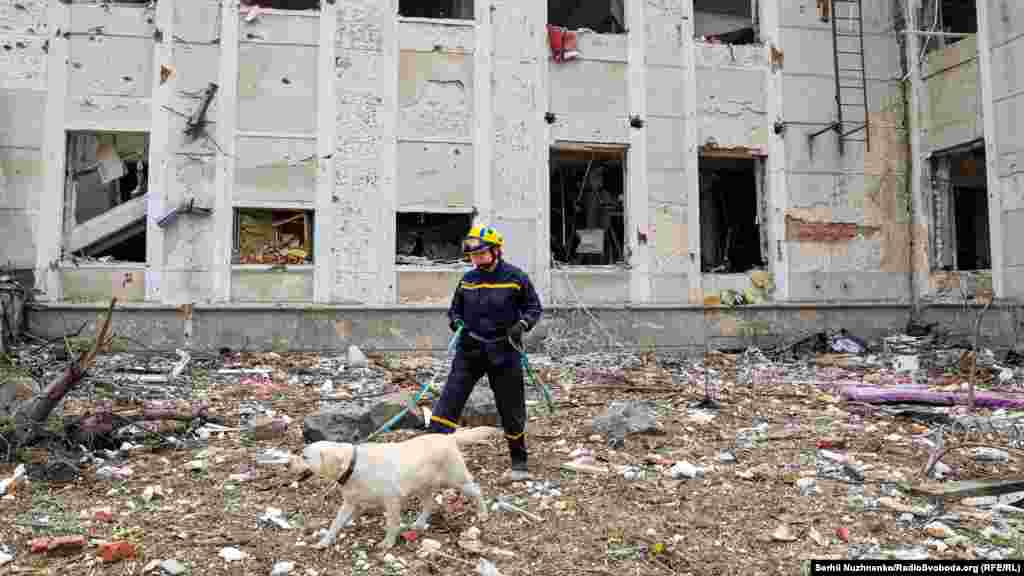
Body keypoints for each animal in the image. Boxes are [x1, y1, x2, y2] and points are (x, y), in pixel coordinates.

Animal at [290, 424, 501, 549]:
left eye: (304, 457)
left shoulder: (391, 501)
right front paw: (324, 541)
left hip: (457, 480)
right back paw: (419, 523)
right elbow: (335, 523)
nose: (287, 464)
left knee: (477, 489)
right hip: (423, 487)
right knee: (430, 504)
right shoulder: (350, 503)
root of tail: (448, 437)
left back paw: (483, 513)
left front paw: (388, 543)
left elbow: (392, 524)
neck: (354, 465)